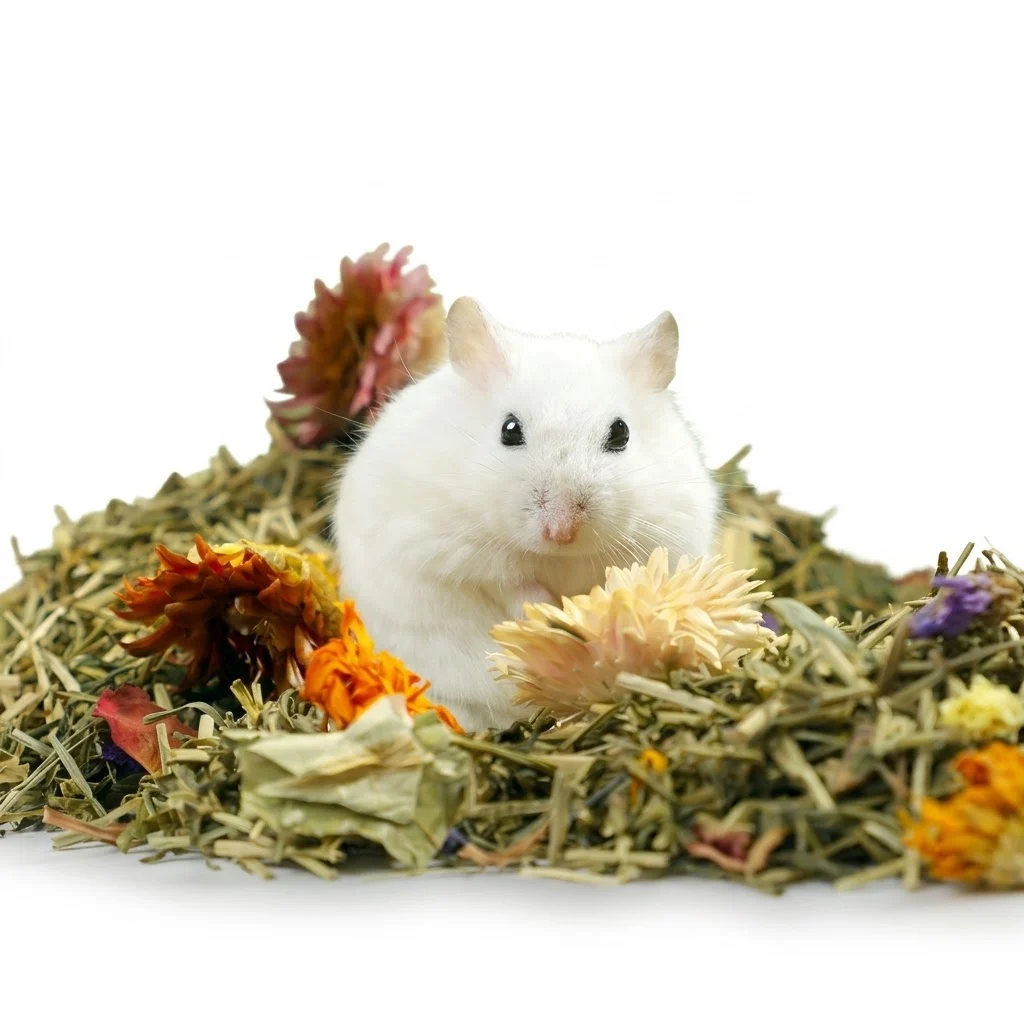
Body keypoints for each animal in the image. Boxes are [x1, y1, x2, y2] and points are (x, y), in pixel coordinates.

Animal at [332, 298, 720, 731]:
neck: (558, 558)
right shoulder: (449, 549)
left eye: (620, 433)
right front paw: (545, 618)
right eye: (510, 429)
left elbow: (617, 585)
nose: (561, 532)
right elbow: (512, 584)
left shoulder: (666, 538)